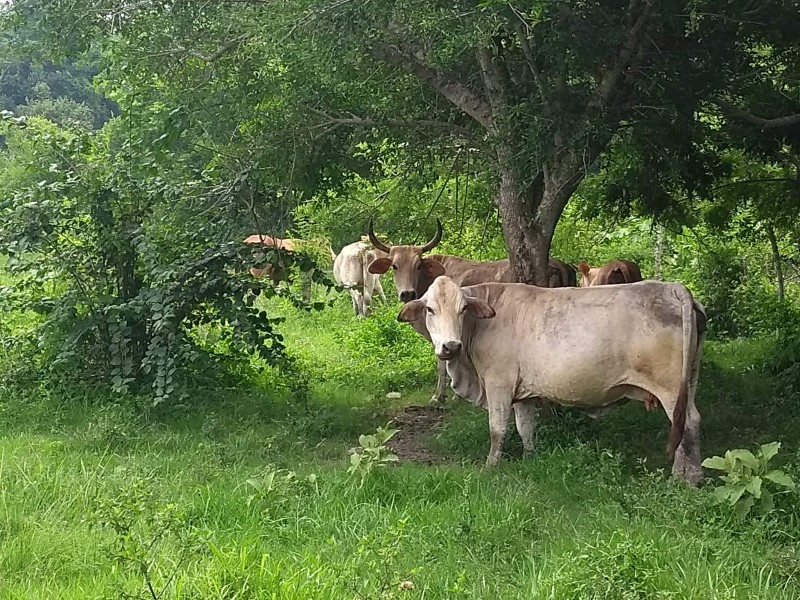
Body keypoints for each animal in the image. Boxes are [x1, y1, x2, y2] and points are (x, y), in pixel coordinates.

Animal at [366, 217, 580, 404]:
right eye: (394, 266)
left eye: (418, 265)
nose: (407, 293)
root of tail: (559, 264)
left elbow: (443, 364)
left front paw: (442, 396)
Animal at [398, 276, 708, 482]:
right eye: (430, 309)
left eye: (462, 309)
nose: (451, 346)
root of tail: (673, 288)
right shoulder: (523, 393)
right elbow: (525, 428)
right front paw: (529, 458)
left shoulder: (499, 384)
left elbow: (497, 429)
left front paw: (490, 466)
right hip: (689, 380)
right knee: (687, 422)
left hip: (669, 388)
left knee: (687, 422)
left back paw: (687, 479)